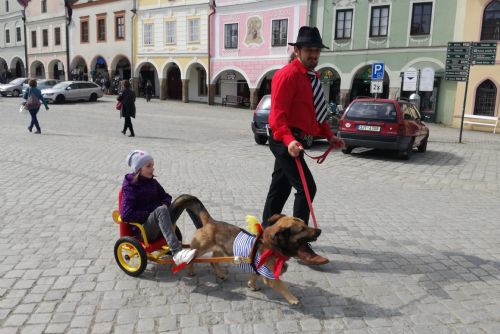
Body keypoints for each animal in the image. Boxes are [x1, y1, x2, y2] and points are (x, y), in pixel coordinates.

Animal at [170, 193, 322, 306]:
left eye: (305, 223)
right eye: (302, 229)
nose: (319, 230)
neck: (271, 246)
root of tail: (211, 222)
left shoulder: (256, 268)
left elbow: (253, 277)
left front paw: (252, 285)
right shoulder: (271, 278)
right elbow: (283, 286)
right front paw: (292, 298)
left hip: (222, 250)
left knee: (213, 261)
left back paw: (221, 274)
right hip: (200, 249)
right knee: (191, 257)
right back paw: (190, 270)